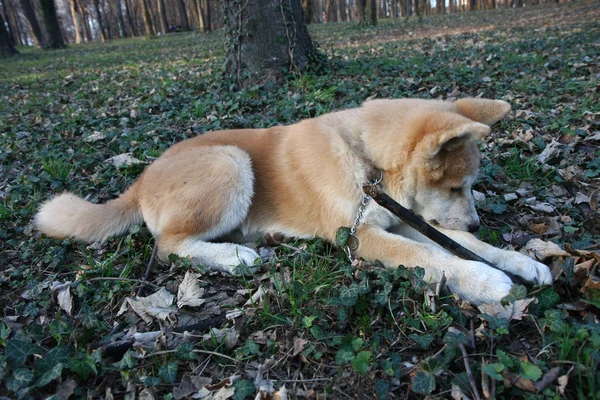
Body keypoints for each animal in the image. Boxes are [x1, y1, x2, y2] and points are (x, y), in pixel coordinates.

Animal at [35, 97, 552, 304]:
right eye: (455, 188)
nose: (477, 223)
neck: (366, 160)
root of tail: (141, 180)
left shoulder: (402, 218)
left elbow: (455, 245)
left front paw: (520, 262)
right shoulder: (358, 236)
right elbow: (431, 255)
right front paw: (487, 282)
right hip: (230, 162)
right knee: (166, 247)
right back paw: (234, 256)